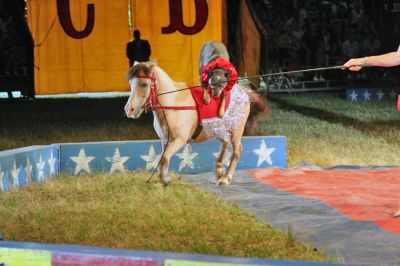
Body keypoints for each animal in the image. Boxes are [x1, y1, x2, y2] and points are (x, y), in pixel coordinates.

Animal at [125, 61, 268, 186]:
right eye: (131, 83)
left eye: (144, 84)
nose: (129, 110)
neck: (173, 105)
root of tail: (244, 92)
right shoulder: (165, 141)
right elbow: (162, 158)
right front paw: (163, 179)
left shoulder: (180, 140)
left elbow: (165, 157)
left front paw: (165, 179)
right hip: (220, 130)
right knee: (225, 143)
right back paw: (219, 170)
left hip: (236, 131)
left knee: (237, 151)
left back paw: (226, 178)